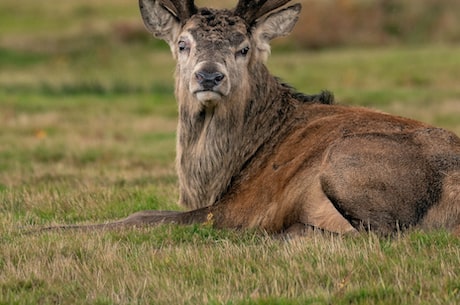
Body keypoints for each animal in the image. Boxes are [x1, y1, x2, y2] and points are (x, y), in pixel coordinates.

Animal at [41, 0, 458, 235]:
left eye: (242, 48)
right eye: (182, 44)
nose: (209, 76)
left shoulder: (241, 206)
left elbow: (141, 217)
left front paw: (44, 228)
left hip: (349, 158)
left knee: (382, 234)